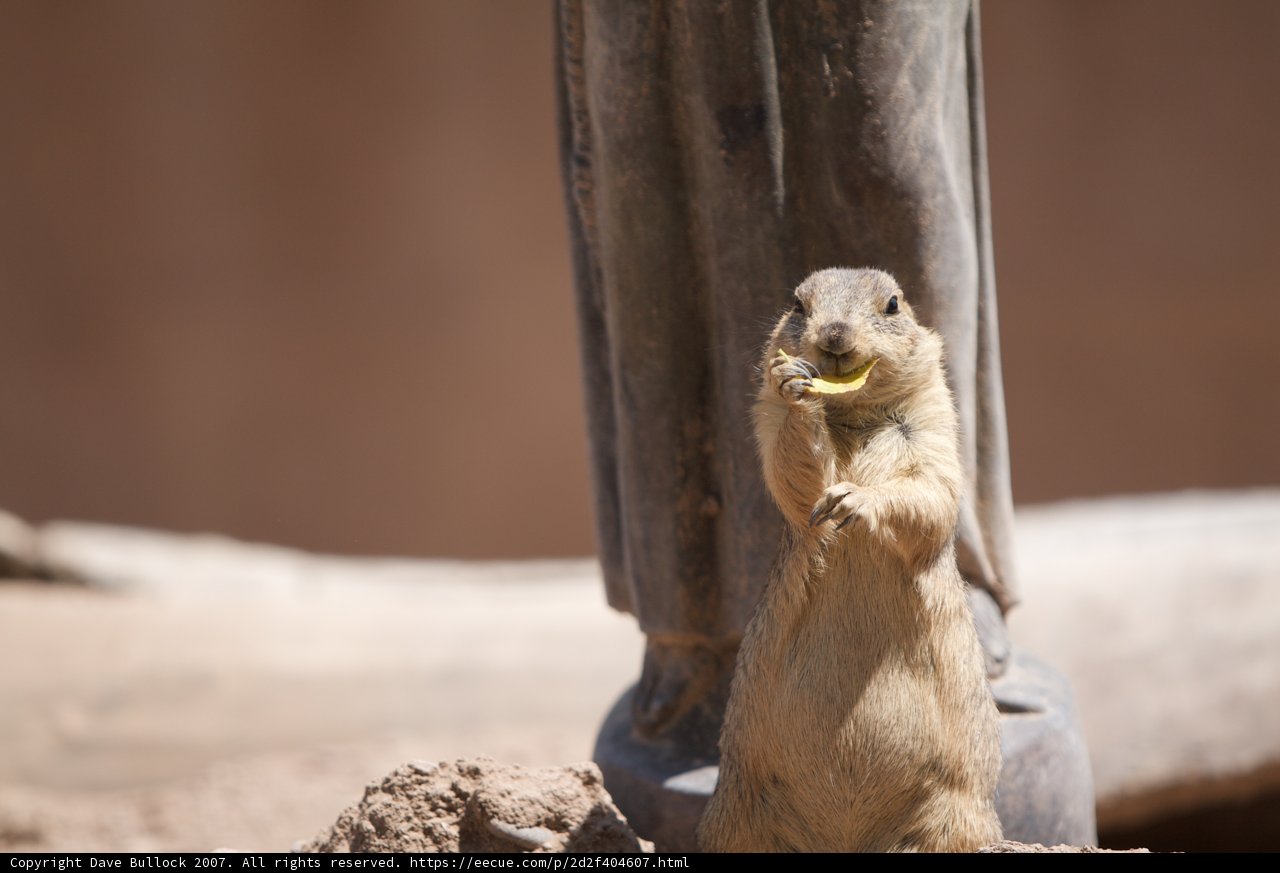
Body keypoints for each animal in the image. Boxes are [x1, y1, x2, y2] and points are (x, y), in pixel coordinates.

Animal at [697, 268, 1002, 852]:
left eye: (892, 304)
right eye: (797, 304)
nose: (834, 334)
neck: (855, 413)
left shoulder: (935, 421)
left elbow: (931, 491)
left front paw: (858, 499)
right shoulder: (765, 416)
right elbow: (793, 474)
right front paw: (796, 388)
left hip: (955, 816)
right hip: (738, 817)